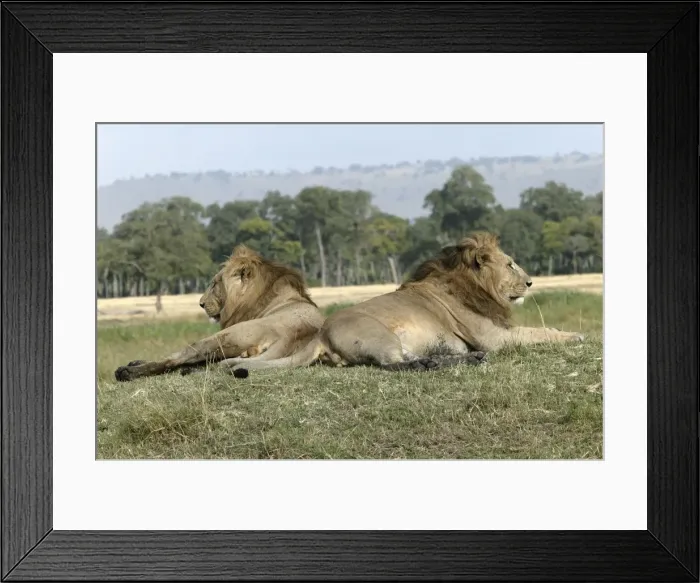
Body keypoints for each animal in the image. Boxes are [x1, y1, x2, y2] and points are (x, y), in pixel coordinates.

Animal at [113, 244, 325, 382]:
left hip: (224, 336)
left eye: (215, 284)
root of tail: (292, 337)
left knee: (175, 359)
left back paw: (128, 371)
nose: (200, 303)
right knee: (215, 364)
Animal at [219, 231, 585, 374]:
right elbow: (539, 333)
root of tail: (321, 334)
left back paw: (461, 359)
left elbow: (542, 329)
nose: (530, 282)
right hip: (381, 335)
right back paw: (436, 363)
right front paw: (575, 337)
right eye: (510, 264)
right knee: (394, 364)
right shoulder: (494, 337)